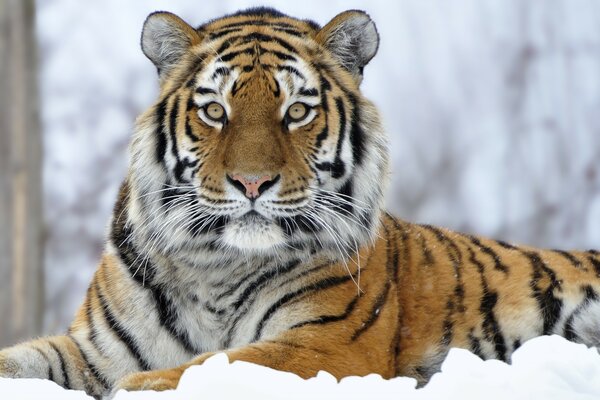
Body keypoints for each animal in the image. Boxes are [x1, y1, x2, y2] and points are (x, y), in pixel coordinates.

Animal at [1, 6, 600, 400]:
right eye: (215, 111)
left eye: (296, 112)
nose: (251, 183)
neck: (215, 264)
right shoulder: (96, 351)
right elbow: (23, 358)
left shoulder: (325, 341)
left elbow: (219, 361)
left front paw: (140, 388)